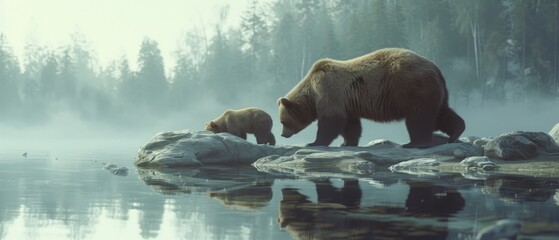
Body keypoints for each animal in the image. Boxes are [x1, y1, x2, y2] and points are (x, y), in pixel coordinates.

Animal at [278, 47, 466, 147]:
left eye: (283, 121)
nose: (283, 135)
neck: (312, 93)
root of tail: (436, 68)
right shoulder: (347, 102)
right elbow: (350, 124)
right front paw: (347, 142)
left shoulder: (329, 91)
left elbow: (331, 121)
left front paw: (315, 142)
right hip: (432, 91)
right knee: (441, 113)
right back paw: (456, 132)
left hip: (413, 88)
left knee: (419, 118)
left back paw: (413, 143)